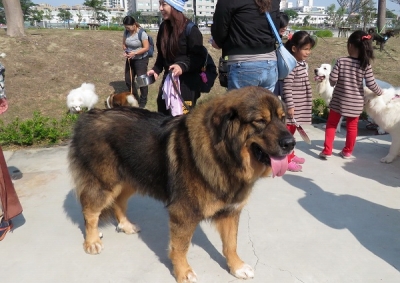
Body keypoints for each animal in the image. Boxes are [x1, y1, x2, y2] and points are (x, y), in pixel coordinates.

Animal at [68, 86, 294, 283]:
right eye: (260, 121)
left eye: (283, 119)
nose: (291, 143)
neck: (223, 155)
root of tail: (89, 116)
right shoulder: (183, 212)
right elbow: (181, 247)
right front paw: (183, 272)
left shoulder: (230, 211)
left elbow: (231, 244)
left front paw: (236, 267)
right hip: (105, 183)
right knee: (90, 210)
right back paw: (92, 240)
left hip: (130, 178)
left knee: (118, 202)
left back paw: (126, 225)